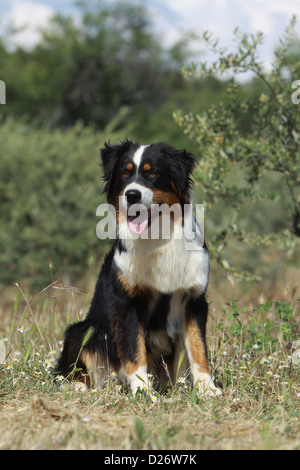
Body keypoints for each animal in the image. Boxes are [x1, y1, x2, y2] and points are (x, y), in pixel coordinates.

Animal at [55, 140, 221, 396]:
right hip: (83, 329)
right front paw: (142, 389)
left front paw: (207, 389)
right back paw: (80, 387)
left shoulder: (194, 300)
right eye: (125, 173)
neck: (158, 238)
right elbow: (134, 349)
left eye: (152, 173)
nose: (132, 194)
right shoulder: (127, 302)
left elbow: (198, 348)